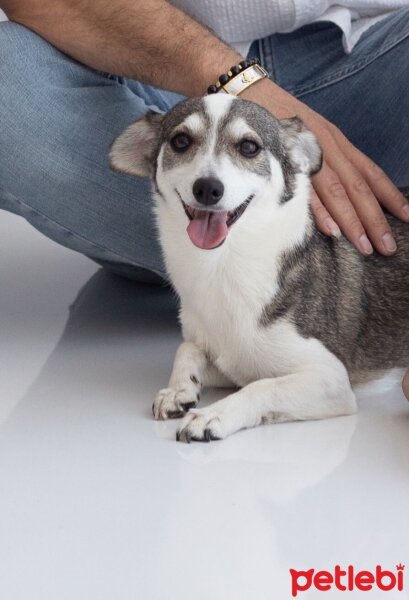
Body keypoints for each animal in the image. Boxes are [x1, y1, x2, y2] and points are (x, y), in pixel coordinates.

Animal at [109, 94, 408, 440]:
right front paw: (179, 390)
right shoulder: (233, 362)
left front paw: (211, 415)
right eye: (180, 141)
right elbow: (188, 348)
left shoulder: (331, 380)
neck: (222, 264)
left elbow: (262, 386)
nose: (207, 188)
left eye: (249, 147)